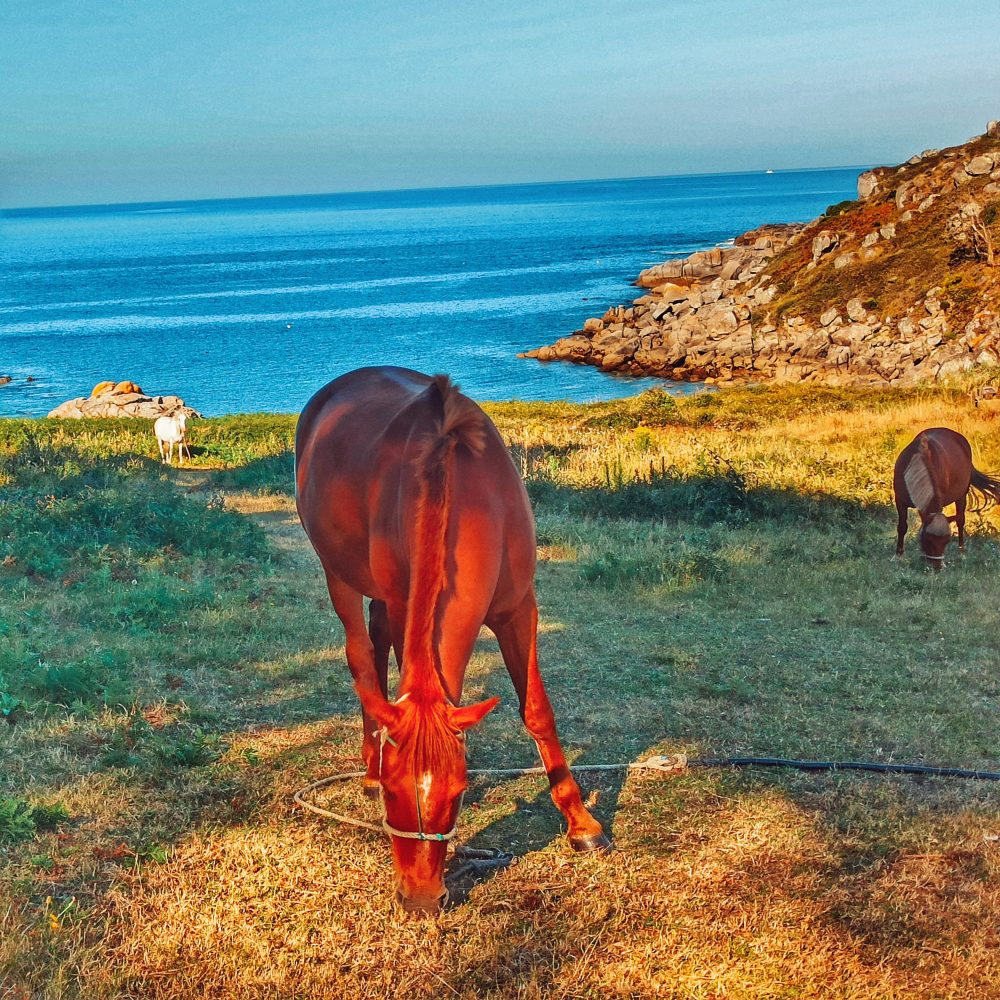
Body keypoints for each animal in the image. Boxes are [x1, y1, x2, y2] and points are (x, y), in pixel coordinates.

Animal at [294, 368, 608, 916]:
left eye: (458, 791)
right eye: (391, 794)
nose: (421, 899)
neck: (461, 491)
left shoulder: (518, 611)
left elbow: (537, 711)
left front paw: (582, 825)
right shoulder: (409, 608)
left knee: (375, 641)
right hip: (339, 576)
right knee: (362, 657)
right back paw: (366, 761)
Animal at [892, 428, 1000, 572]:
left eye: (947, 541)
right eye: (928, 539)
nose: (937, 567)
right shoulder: (900, 501)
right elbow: (902, 527)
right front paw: (898, 555)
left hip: (962, 495)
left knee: (960, 520)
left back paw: (961, 550)